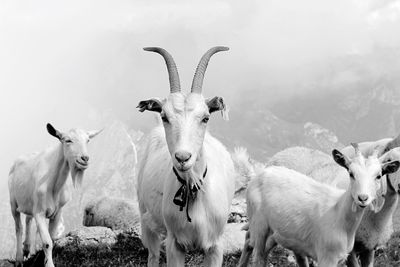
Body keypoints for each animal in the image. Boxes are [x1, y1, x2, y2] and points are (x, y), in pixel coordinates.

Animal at [8, 123, 101, 267]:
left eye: (88, 140)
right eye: (68, 140)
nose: (84, 159)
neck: (55, 187)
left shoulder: (57, 212)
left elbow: (51, 239)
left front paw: (42, 259)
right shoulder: (39, 213)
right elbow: (47, 242)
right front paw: (49, 264)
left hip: (29, 203)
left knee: (28, 219)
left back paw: (27, 248)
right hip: (13, 203)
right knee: (18, 228)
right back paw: (19, 259)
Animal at [137, 47, 234, 266]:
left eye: (206, 117)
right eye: (165, 116)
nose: (182, 157)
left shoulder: (216, 247)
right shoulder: (175, 244)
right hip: (146, 217)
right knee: (153, 254)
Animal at [238, 147, 400, 267]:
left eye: (378, 176)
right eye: (351, 173)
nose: (363, 198)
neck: (339, 212)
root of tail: (259, 174)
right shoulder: (326, 257)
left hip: (275, 231)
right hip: (259, 224)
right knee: (257, 254)